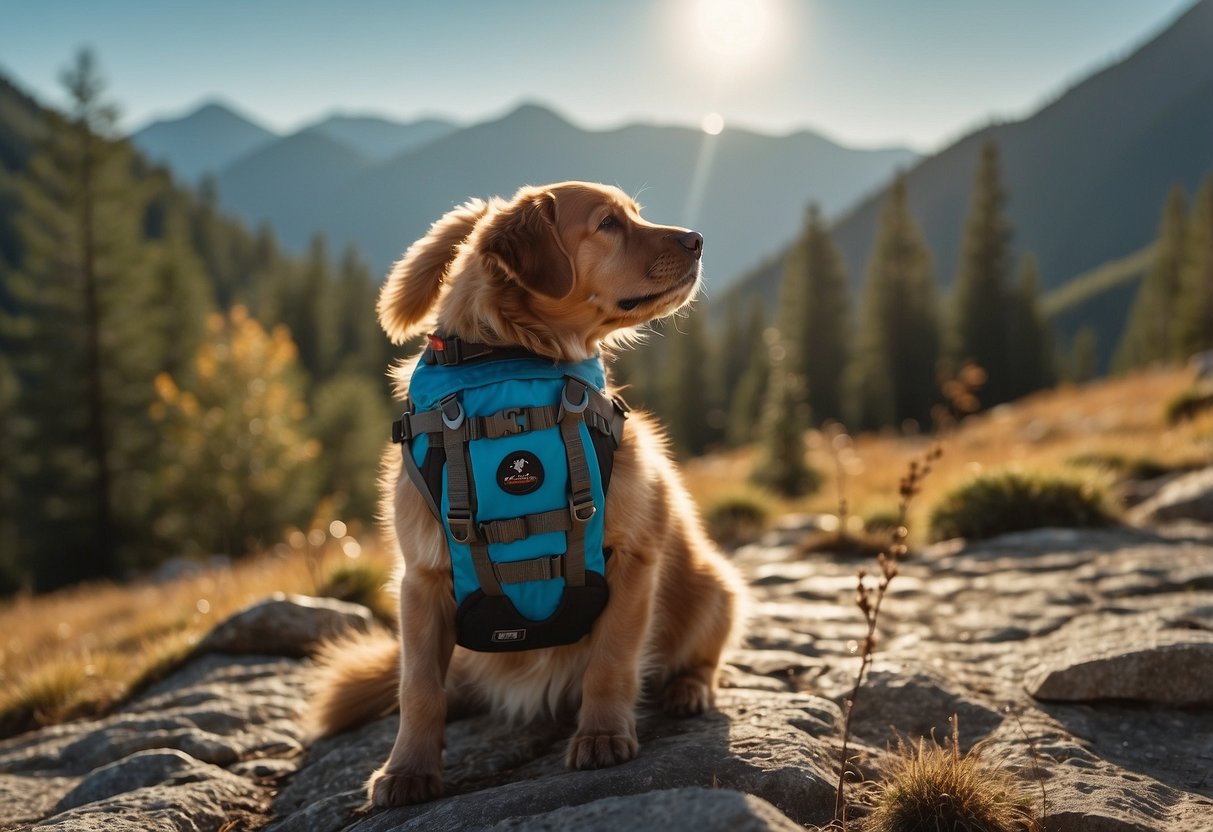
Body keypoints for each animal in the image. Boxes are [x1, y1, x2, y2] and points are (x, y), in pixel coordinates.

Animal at [308, 180, 742, 810]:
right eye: (609, 223)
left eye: (635, 215)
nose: (698, 239)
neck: (510, 359)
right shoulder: (421, 580)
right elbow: (418, 688)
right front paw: (408, 768)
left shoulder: (634, 560)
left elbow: (612, 660)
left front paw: (602, 734)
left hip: (714, 584)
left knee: (703, 652)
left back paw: (687, 688)